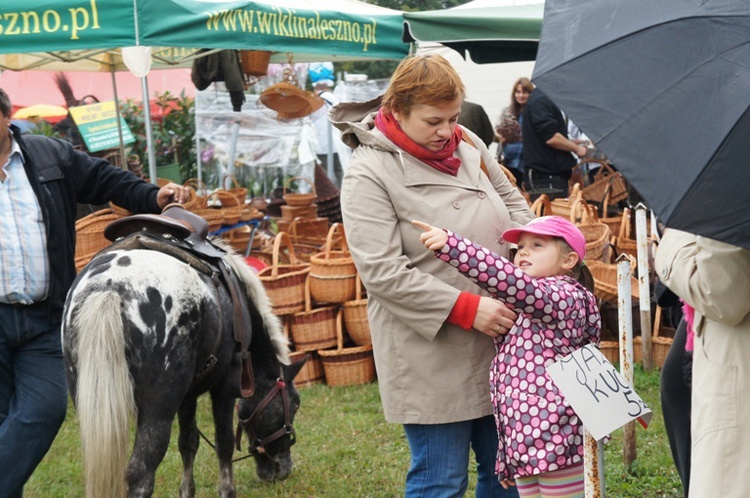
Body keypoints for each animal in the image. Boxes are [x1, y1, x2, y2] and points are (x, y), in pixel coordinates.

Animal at [61, 232, 306, 498]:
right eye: (295, 403)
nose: (283, 469)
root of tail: (109, 288)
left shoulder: (187, 395)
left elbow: (188, 442)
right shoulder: (225, 388)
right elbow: (224, 442)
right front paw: (227, 490)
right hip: (157, 411)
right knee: (140, 475)